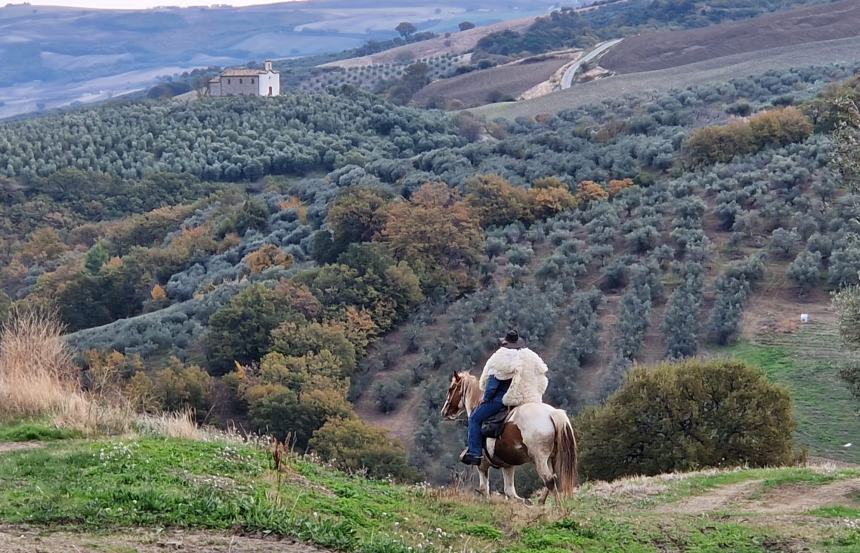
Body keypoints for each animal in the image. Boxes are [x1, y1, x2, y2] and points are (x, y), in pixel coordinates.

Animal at [444, 368, 576, 502]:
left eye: (451, 388)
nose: (445, 411)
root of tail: (552, 413)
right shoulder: (508, 466)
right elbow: (510, 492)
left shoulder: (482, 464)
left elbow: (484, 489)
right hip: (550, 458)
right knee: (552, 479)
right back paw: (540, 502)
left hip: (540, 459)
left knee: (549, 480)